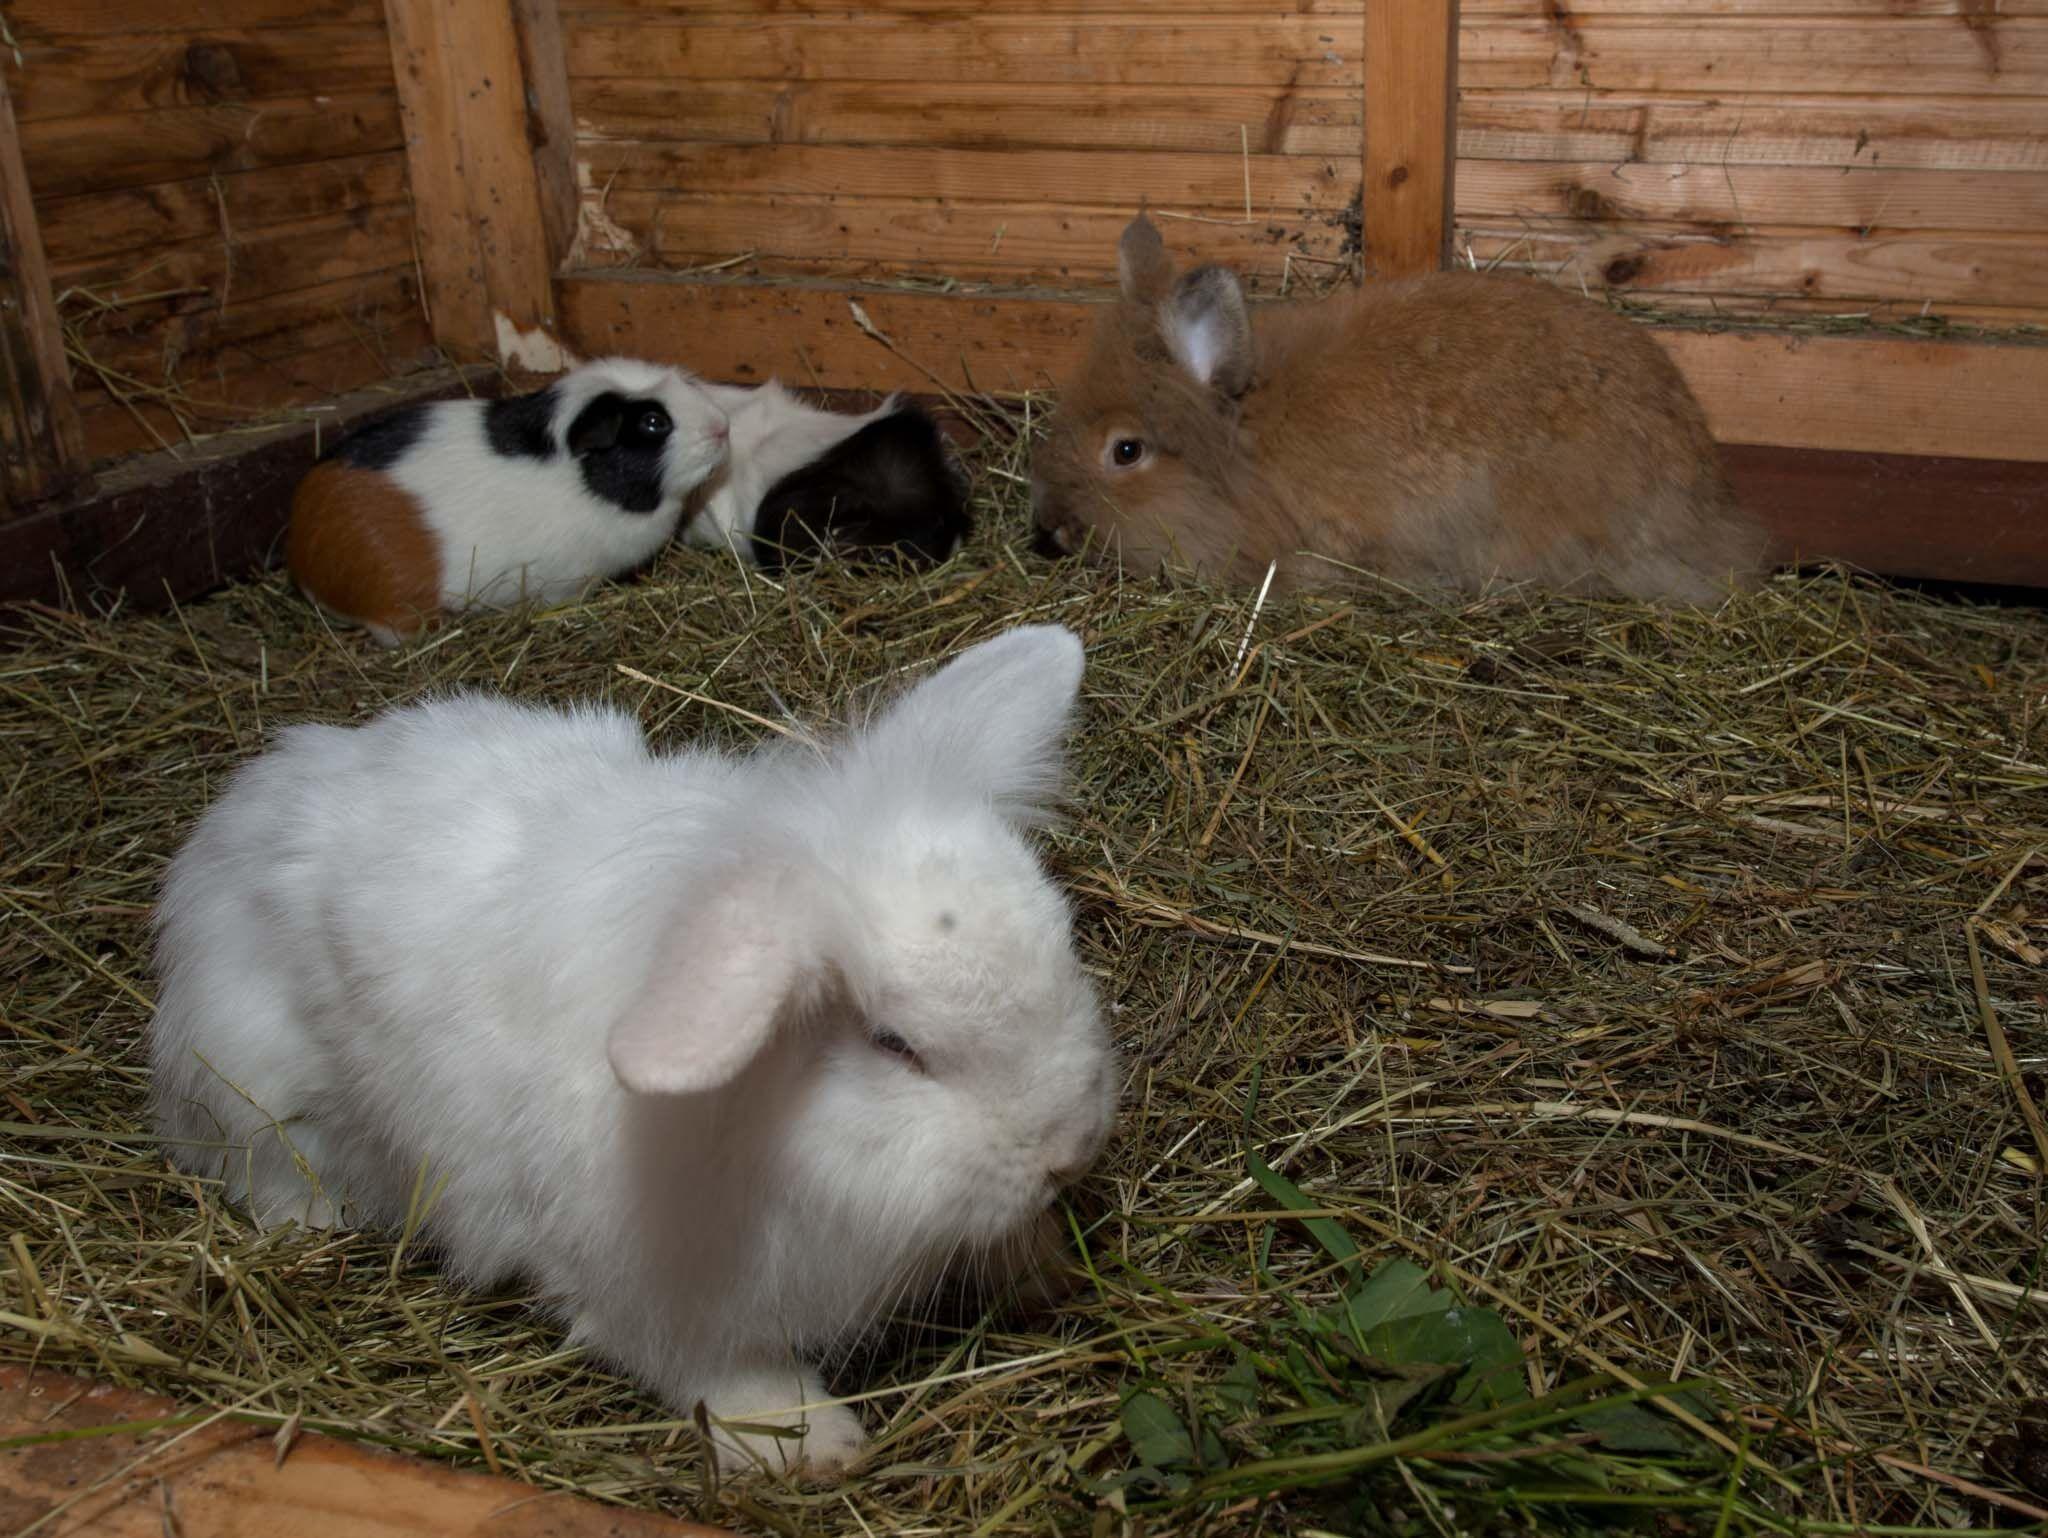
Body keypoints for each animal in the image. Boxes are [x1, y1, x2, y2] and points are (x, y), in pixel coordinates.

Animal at [147, 624, 1118, 1478]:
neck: (764, 1130)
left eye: (1063, 950)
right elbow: (717, 1369)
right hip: (259, 1096)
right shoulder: (654, 1292)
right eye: (896, 1046)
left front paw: (1047, 1267)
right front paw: (811, 1445)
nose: (1068, 1153)